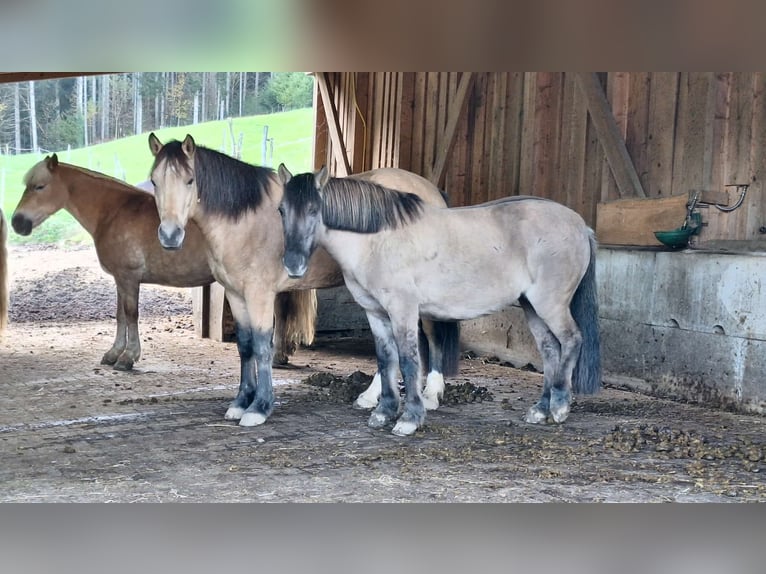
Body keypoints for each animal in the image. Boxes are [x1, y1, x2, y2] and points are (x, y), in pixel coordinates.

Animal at [9, 158, 316, 372]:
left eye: (39, 186)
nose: (17, 223)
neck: (114, 210)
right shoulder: (121, 279)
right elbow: (120, 316)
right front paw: (113, 354)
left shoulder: (129, 278)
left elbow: (131, 315)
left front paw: (128, 358)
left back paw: (277, 356)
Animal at [148, 135, 460, 430]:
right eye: (154, 180)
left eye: (190, 180)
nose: (170, 235)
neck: (243, 220)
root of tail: (432, 191)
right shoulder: (236, 295)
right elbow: (245, 346)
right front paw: (240, 402)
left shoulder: (260, 295)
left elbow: (262, 346)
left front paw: (259, 407)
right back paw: (371, 397)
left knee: (432, 335)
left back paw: (430, 395)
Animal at [280, 165, 604, 436]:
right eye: (281, 209)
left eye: (314, 209)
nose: (293, 265)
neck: (380, 238)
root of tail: (580, 226)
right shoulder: (375, 313)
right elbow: (386, 360)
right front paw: (383, 412)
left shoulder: (403, 311)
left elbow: (409, 361)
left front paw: (409, 419)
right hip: (532, 306)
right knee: (550, 350)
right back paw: (541, 410)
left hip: (551, 304)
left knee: (572, 340)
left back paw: (559, 407)